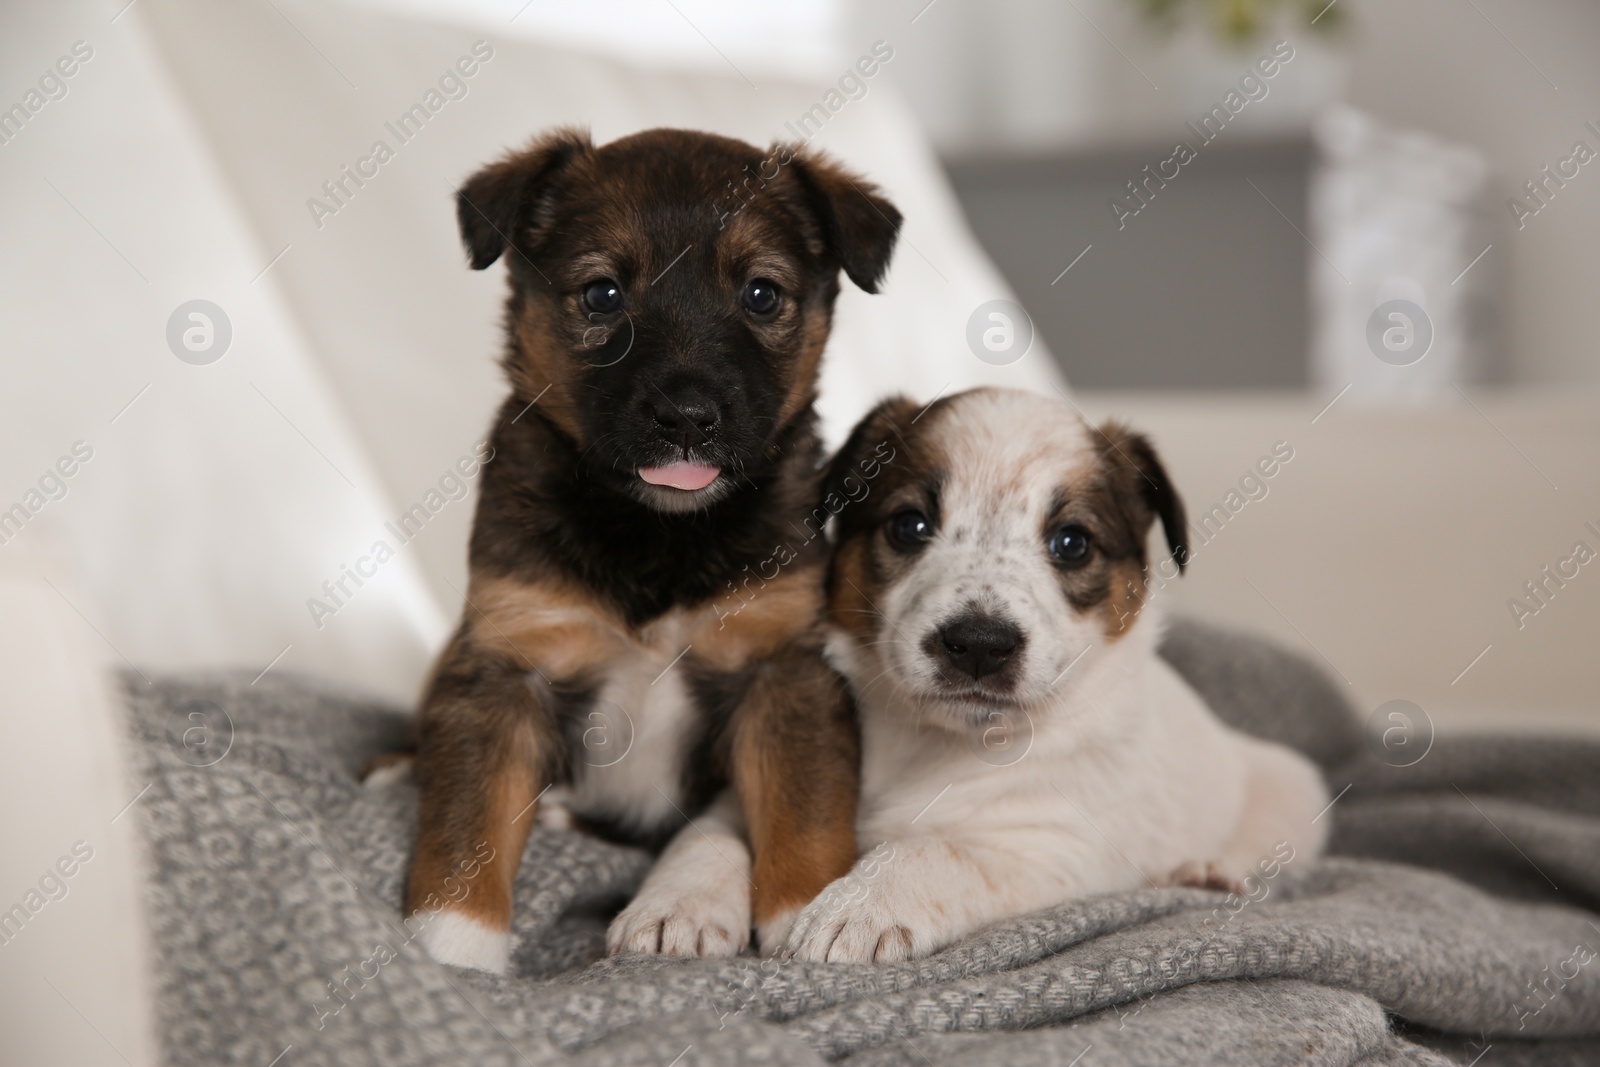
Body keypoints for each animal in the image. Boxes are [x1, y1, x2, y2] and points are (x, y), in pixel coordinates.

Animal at [400, 129, 902, 972]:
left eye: (761, 294)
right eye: (603, 294)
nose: (687, 415)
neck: (658, 530)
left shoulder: (784, 667)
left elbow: (803, 812)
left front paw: (805, 909)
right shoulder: (505, 665)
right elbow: (467, 828)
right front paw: (451, 951)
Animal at [780, 388, 1331, 966]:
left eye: (1072, 543)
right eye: (910, 526)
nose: (980, 646)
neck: (940, 745)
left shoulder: (1054, 850)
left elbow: (936, 850)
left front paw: (862, 905)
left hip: (1290, 787)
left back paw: (1203, 869)